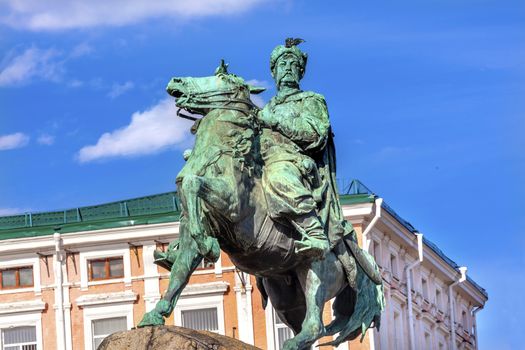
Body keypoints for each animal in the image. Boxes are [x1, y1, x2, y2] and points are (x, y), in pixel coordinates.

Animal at [138, 63, 384, 350]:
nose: (176, 80)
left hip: (315, 271)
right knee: (304, 325)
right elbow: (180, 272)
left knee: (315, 325)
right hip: (284, 296)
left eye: (223, 76)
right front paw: (156, 313)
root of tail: (349, 255)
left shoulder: (232, 206)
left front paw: (209, 246)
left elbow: (193, 183)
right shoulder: (190, 228)